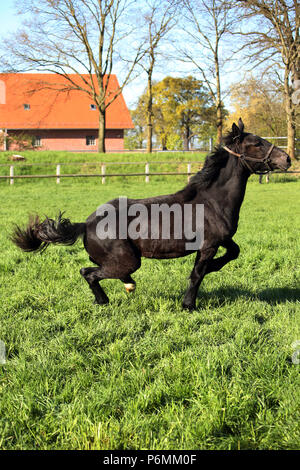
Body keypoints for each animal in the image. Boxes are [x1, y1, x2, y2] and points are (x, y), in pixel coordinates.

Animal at [11, 120, 290, 312]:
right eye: (257, 143)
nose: (287, 158)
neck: (211, 201)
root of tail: (87, 223)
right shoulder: (208, 245)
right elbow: (197, 274)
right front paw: (188, 304)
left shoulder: (223, 239)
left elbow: (234, 252)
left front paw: (213, 269)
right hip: (129, 260)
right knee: (88, 272)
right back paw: (106, 298)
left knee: (98, 271)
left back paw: (126, 286)